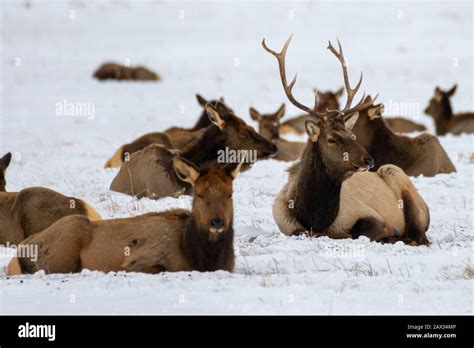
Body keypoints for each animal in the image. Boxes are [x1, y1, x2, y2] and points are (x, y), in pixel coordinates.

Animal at [8, 158, 244, 274]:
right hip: (63, 249)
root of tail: (22, 249)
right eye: (200, 193)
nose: (217, 221)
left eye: (230, 193)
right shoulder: (140, 260)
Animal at [264, 35, 432, 245]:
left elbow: (360, 231)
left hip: (395, 174)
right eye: (331, 139)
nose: (368, 160)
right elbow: (302, 231)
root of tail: (427, 209)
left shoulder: (365, 214)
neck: (314, 217)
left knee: (420, 234)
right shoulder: (287, 224)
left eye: (352, 136)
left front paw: (389, 233)